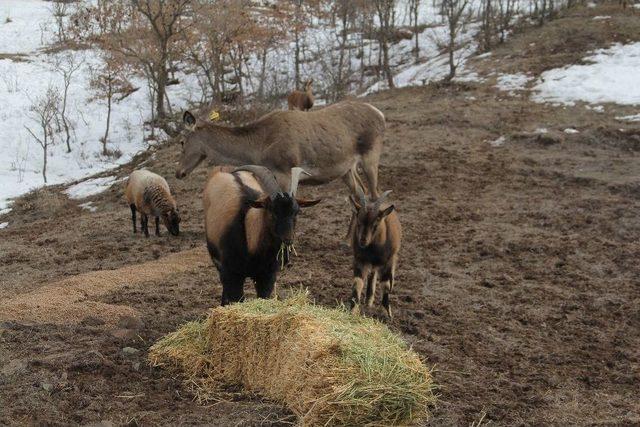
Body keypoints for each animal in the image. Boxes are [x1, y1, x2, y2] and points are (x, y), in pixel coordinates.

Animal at [176, 100, 384, 201]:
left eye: (181, 142)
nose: (178, 172)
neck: (258, 149)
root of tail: (380, 113)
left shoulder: (286, 171)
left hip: (371, 155)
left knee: (375, 195)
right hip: (345, 169)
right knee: (360, 193)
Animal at [204, 166, 320, 306]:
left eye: (296, 212)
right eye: (272, 211)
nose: (288, 240)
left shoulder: (266, 276)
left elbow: (264, 296)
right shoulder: (232, 275)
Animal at [348, 190, 402, 318]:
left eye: (375, 225)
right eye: (358, 222)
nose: (363, 240)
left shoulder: (388, 261)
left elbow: (385, 284)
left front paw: (386, 313)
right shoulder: (359, 260)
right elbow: (357, 282)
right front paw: (353, 310)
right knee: (372, 274)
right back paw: (368, 300)